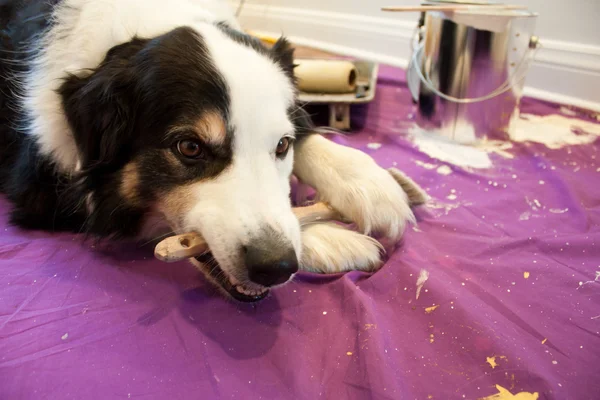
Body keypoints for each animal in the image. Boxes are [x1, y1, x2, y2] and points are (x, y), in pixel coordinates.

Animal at [0, 0, 426, 300]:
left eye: (282, 145)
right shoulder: (39, 185)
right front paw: (329, 237)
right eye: (189, 147)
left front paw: (370, 182)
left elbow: (310, 132)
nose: (275, 265)